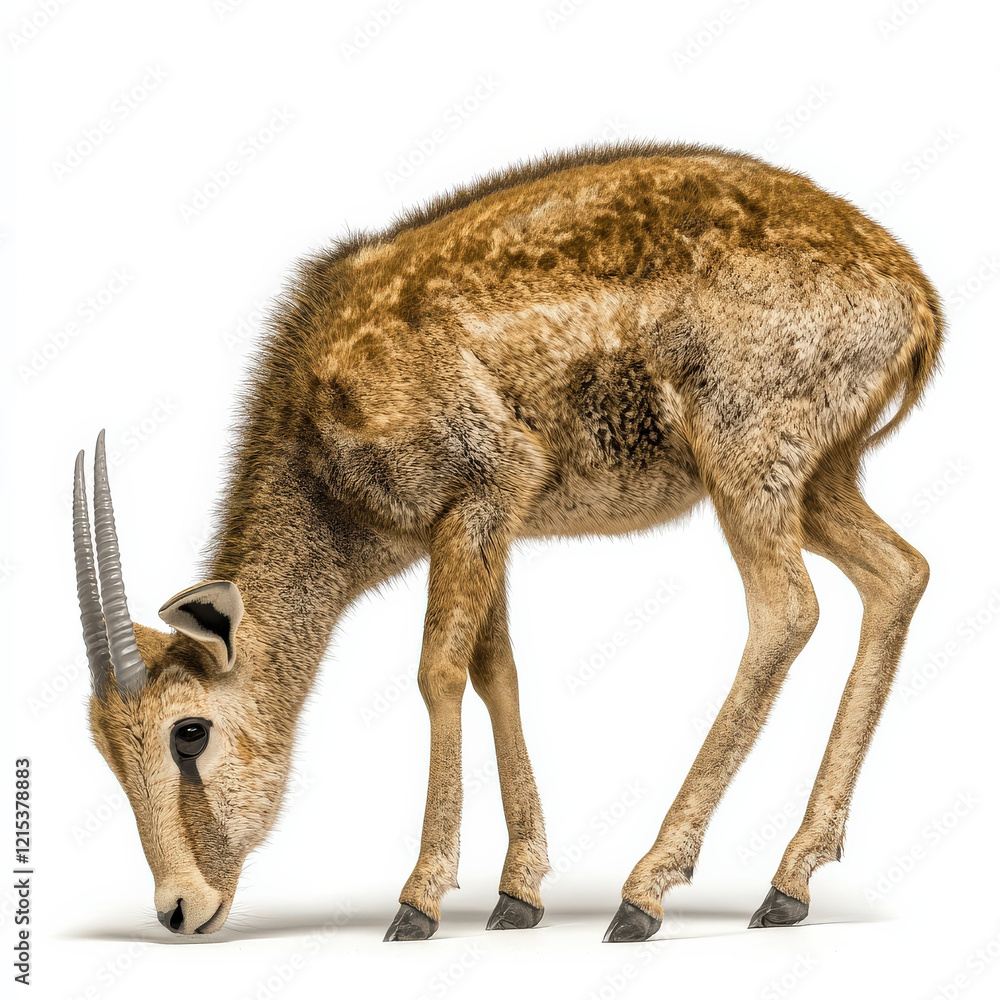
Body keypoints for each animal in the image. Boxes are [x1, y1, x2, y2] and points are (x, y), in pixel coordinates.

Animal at [74, 141, 941, 942]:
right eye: (105, 747)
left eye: (189, 731)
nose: (179, 909)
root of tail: (917, 299)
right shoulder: (482, 525)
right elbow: (497, 670)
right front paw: (518, 893)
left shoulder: (484, 492)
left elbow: (438, 671)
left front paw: (419, 900)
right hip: (819, 483)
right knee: (901, 572)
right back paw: (790, 882)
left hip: (748, 469)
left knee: (788, 610)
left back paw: (646, 894)